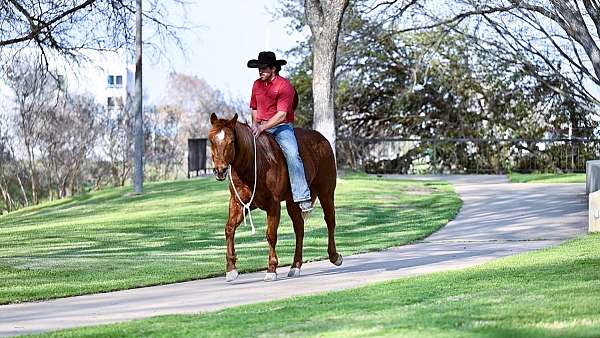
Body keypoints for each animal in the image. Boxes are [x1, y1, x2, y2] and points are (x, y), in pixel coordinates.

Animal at [207, 112, 342, 282]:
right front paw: (231, 269)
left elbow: (271, 235)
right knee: (299, 229)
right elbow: (229, 229)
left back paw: (335, 257)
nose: (220, 170)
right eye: (211, 140)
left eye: (231, 141)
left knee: (330, 221)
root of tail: (323, 139)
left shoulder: (273, 205)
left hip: (326, 193)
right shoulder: (238, 204)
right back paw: (295, 266)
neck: (254, 165)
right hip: (293, 202)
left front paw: (271, 269)